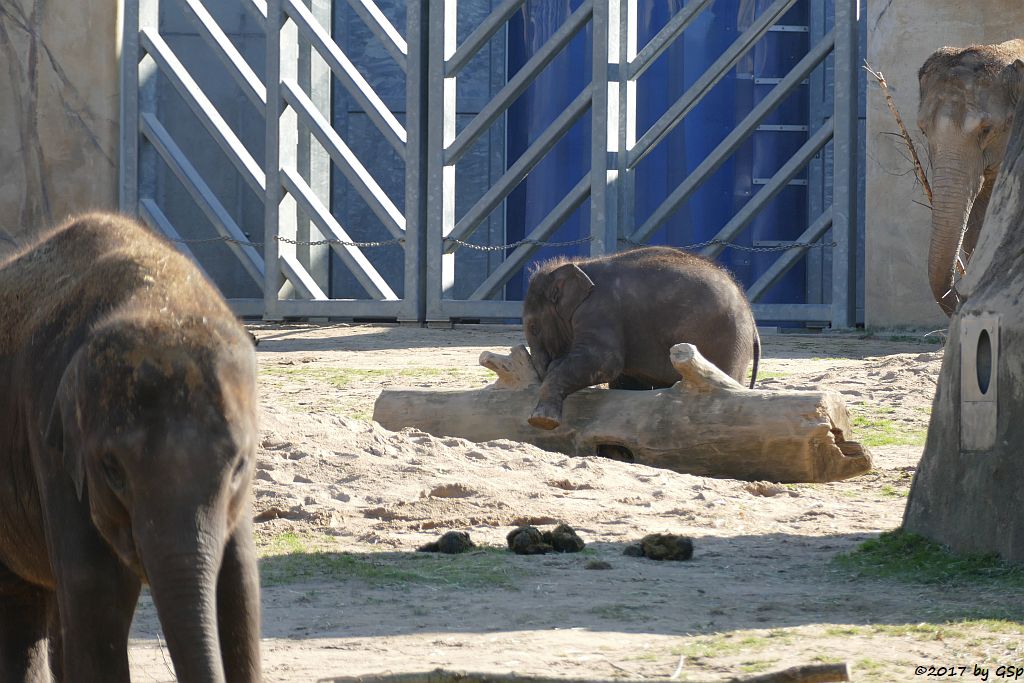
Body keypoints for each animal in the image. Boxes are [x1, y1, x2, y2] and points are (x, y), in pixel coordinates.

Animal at [0, 210, 260, 679]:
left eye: (239, 467)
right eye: (112, 469)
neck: (159, 296)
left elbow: (240, 592)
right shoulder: (51, 446)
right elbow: (96, 597)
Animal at [524, 244, 757, 428]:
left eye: (534, 327)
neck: (580, 265)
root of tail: (751, 316)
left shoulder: (599, 311)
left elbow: (604, 361)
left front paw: (542, 421)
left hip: (726, 342)